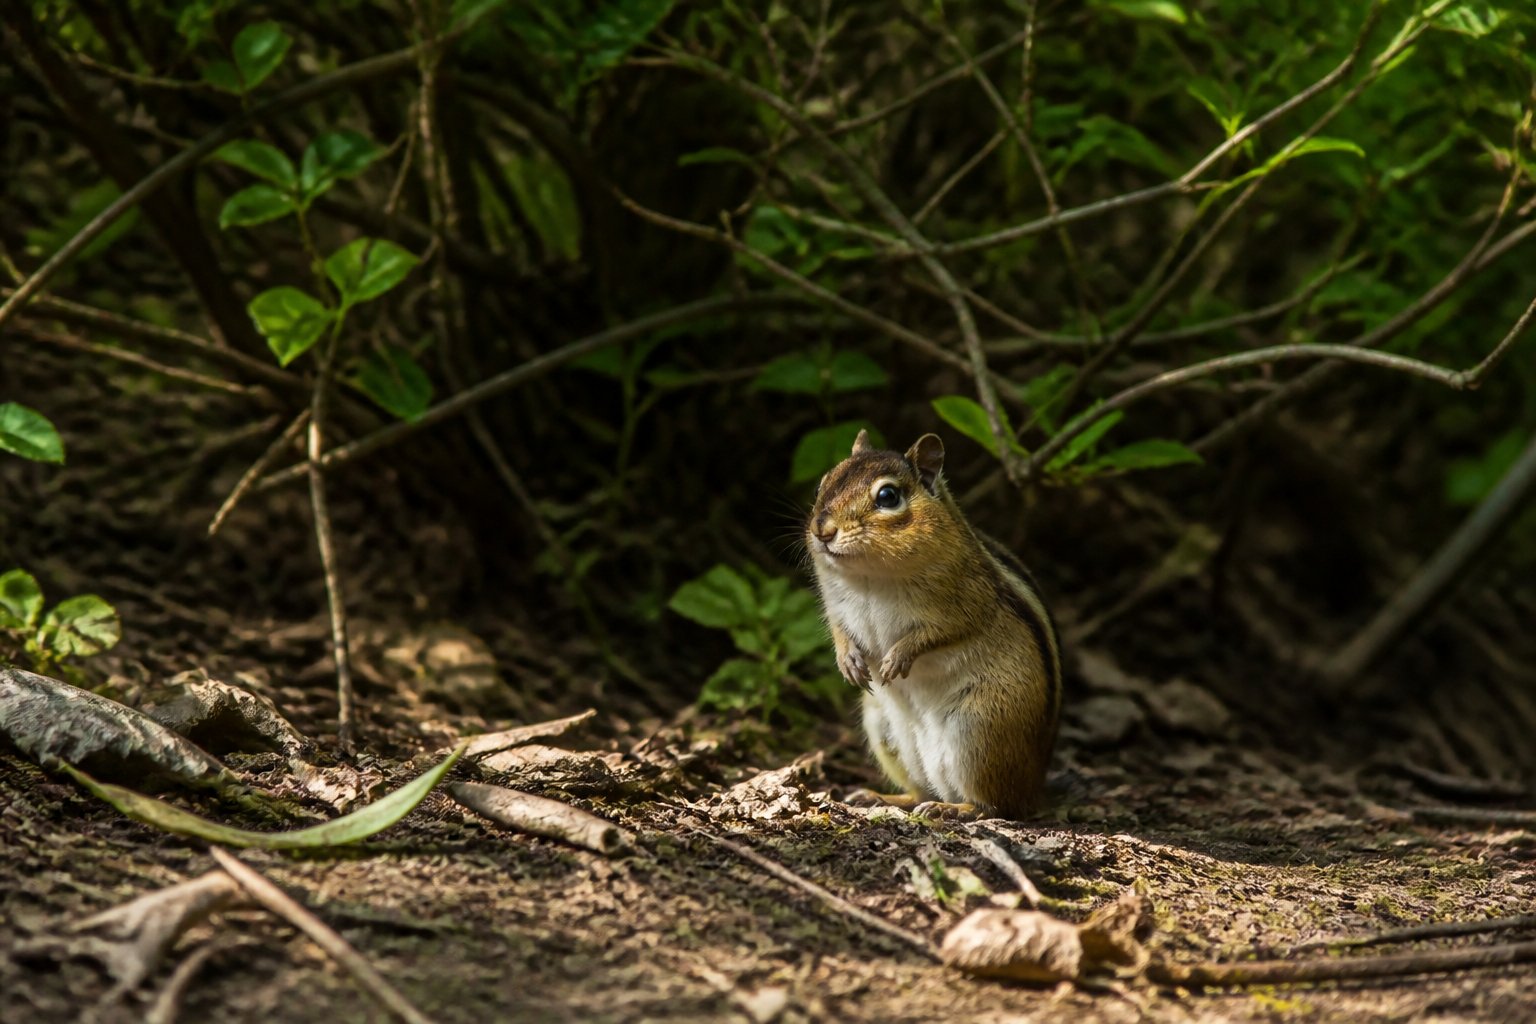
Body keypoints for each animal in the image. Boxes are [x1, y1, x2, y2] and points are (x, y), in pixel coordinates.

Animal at [806, 430, 1061, 818]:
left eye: (888, 496)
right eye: (825, 481)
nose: (822, 530)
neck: (870, 575)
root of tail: (1035, 788)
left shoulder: (967, 603)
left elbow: (940, 633)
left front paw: (898, 658)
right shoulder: (836, 606)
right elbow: (839, 631)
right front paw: (848, 661)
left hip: (980, 730)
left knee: (997, 806)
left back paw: (955, 809)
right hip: (882, 727)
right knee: (920, 791)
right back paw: (882, 797)